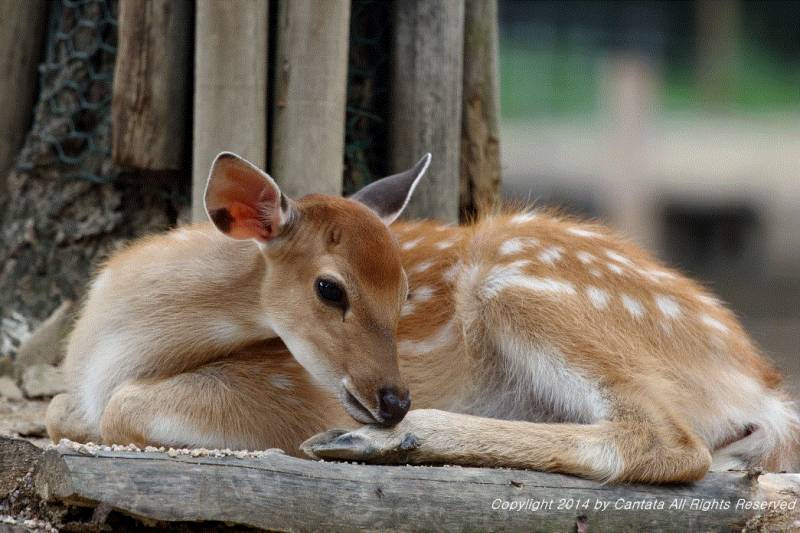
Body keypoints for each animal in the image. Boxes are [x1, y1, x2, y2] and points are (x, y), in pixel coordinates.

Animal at [47, 151, 796, 482]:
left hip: (519, 285)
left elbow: (127, 406)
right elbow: (57, 409)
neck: (108, 344)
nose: (392, 398)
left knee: (669, 440)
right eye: (330, 288)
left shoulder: (286, 391)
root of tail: (762, 385)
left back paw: (376, 440)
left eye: (407, 290)